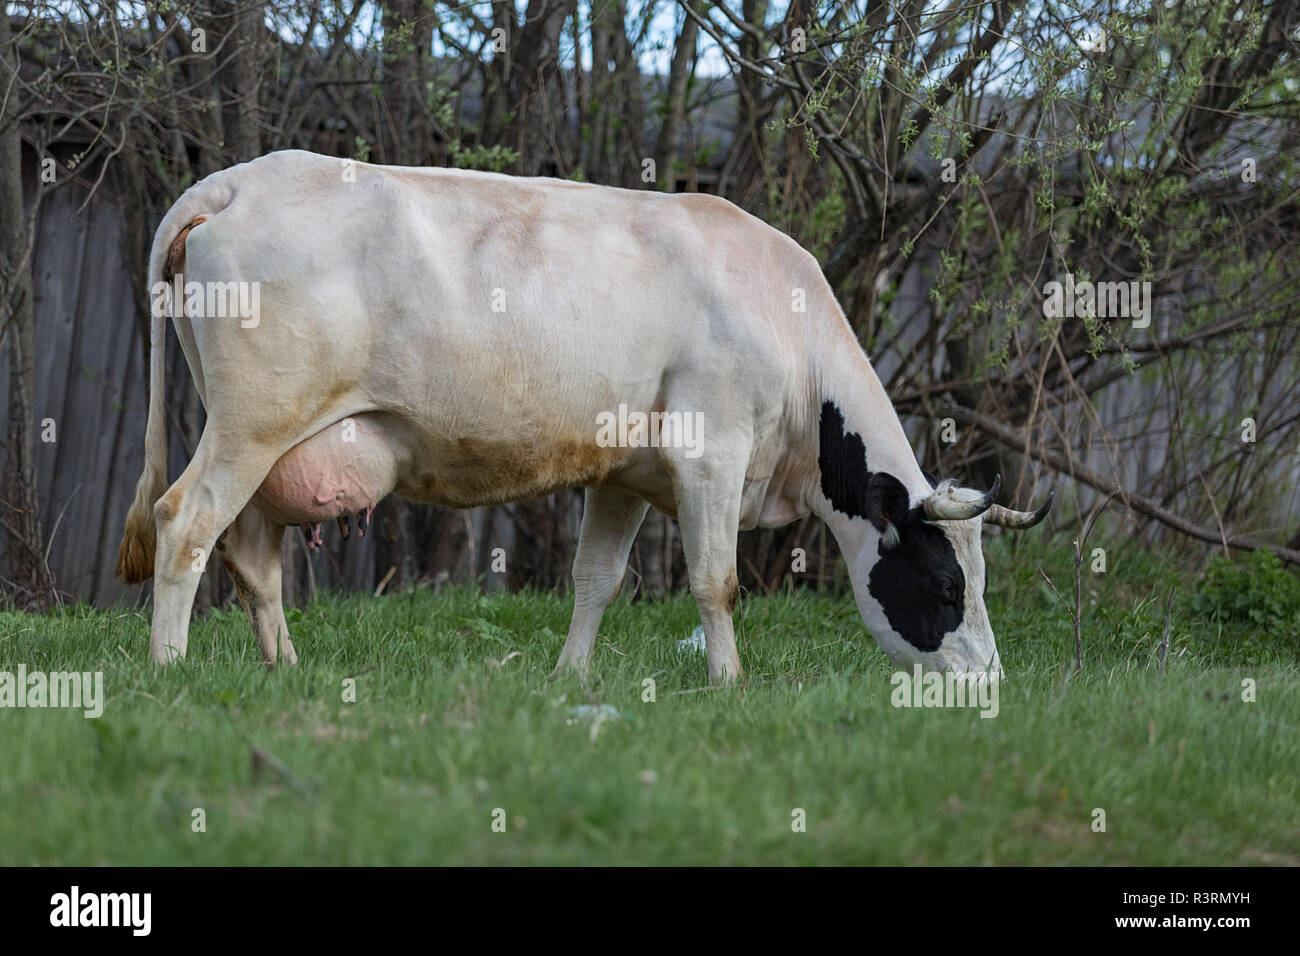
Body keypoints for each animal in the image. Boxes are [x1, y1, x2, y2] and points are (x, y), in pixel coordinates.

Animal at [116, 149, 1050, 683]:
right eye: (946, 585)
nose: (989, 680)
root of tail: (234, 179)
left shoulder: (625, 474)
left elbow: (595, 579)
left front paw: (570, 679)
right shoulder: (711, 453)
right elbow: (717, 581)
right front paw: (729, 685)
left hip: (265, 442)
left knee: (250, 554)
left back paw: (285, 670)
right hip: (252, 425)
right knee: (184, 522)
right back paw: (168, 670)